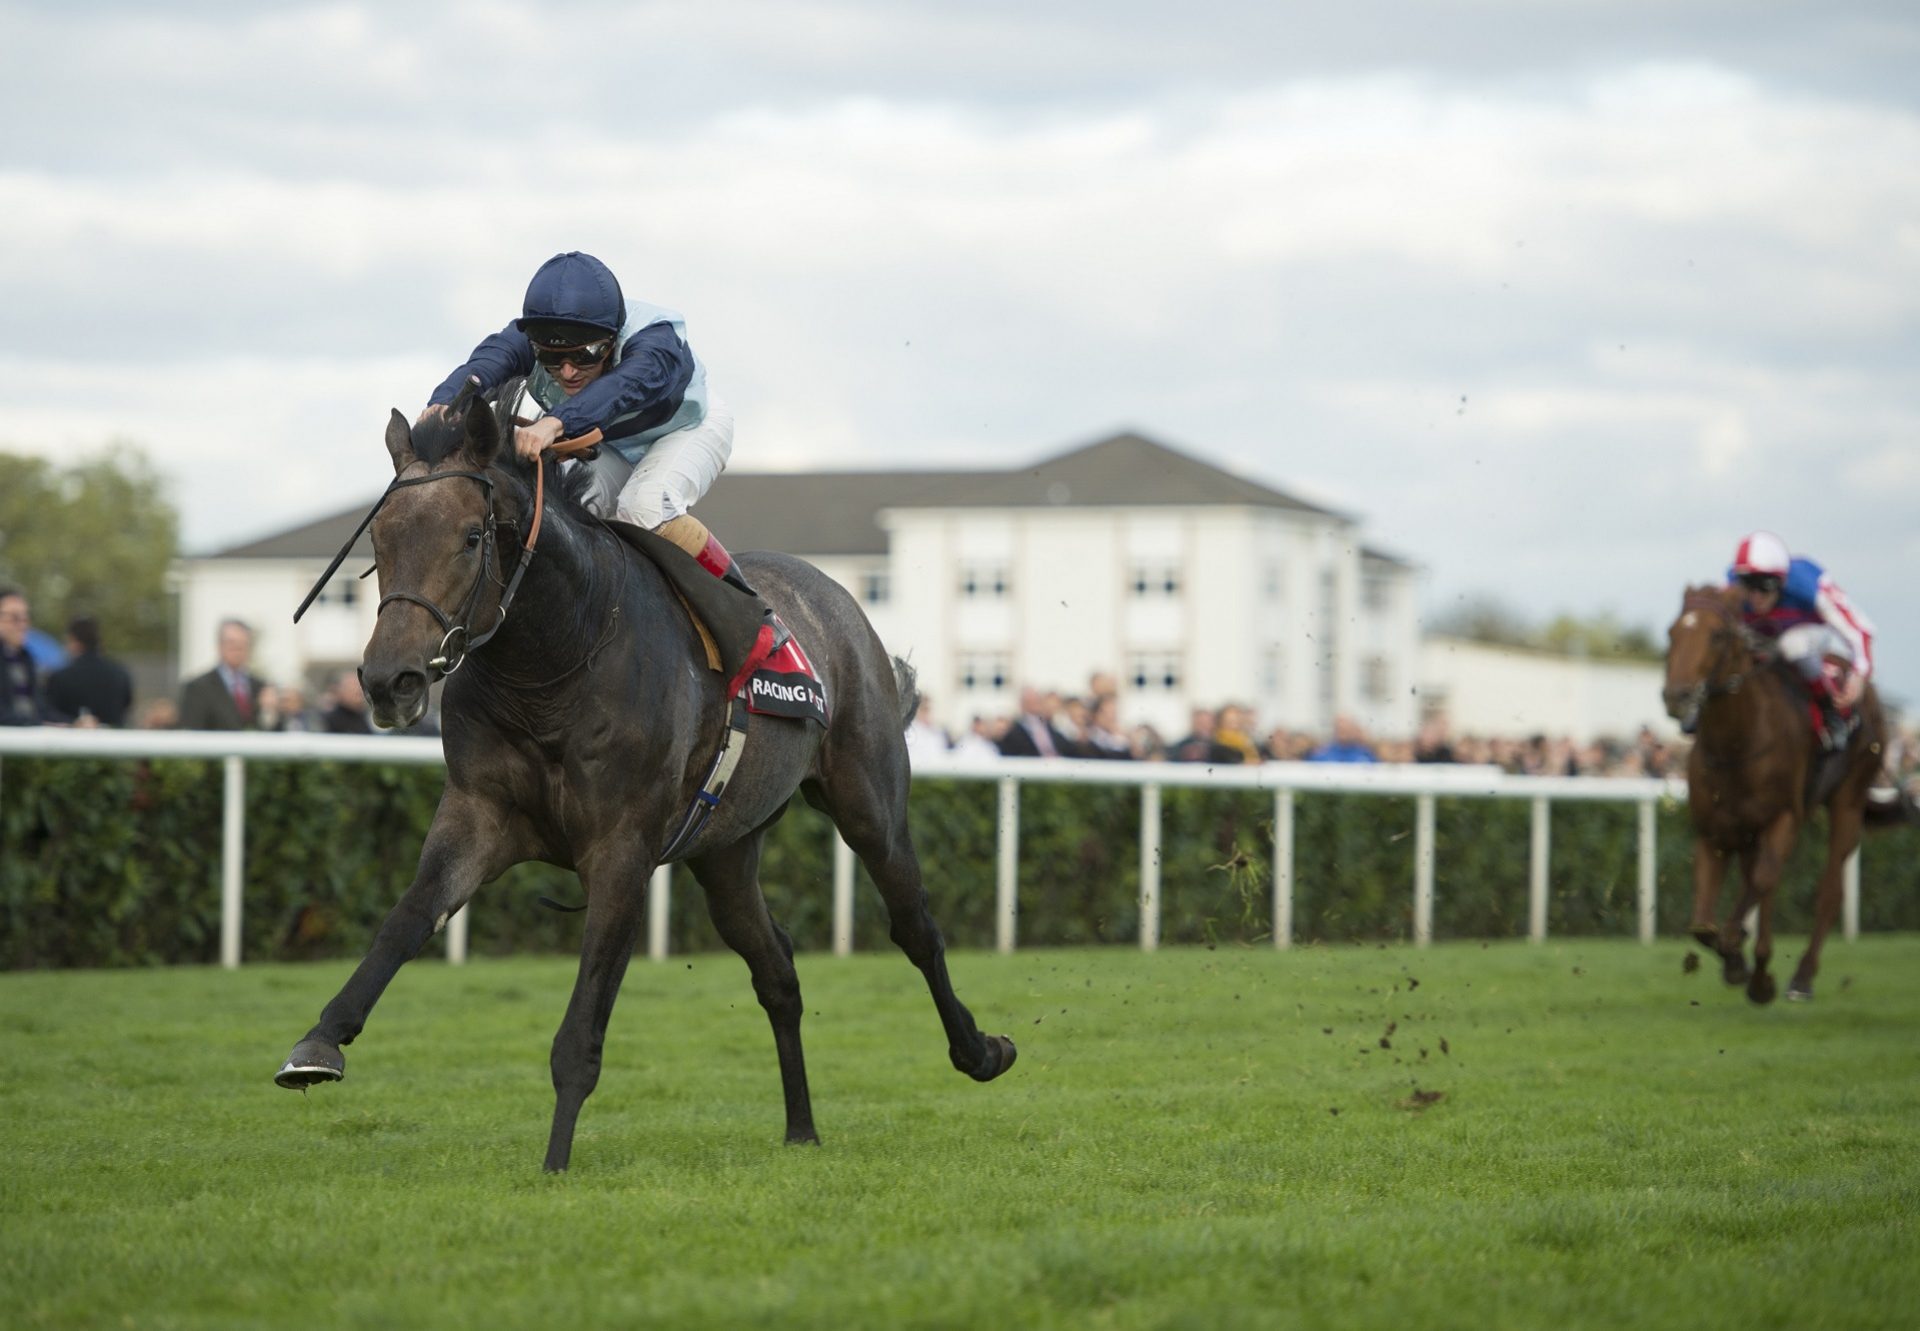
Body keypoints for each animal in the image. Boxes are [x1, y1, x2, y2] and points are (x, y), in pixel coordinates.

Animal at [280, 389, 1021, 1167]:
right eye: (381, 539)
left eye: (471, 538)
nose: (387, 681)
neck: (557, 660)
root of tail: (839, 602)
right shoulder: (479, 812)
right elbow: (408, 918)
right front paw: (319, 1043)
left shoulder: (621, 848)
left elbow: (582, 1026)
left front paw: (555, 1162)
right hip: (725, 851)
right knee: (777, 970)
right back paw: (801, 1126)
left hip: (869, 803)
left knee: (914, 926)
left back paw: (980, 1050)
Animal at [1666, 580, 1889, 998]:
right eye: (1671, 633)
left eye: (1718, 635)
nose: (1677, 696)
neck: (1737, 745)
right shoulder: (1715, 831)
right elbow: (1704, 923)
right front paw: (1738, 963)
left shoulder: (1784, 818)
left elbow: (1763, 882)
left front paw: (1741, 953)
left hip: (1848, 802)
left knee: (1827, 891)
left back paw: (1800, 977)